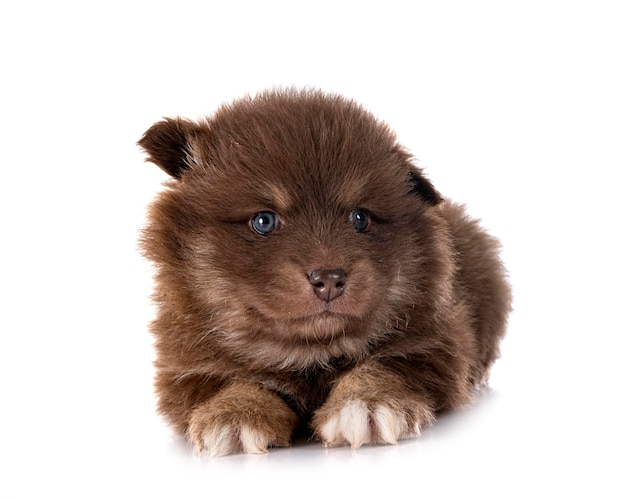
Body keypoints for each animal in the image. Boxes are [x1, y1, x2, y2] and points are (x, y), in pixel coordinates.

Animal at [139, 89, 510, 458]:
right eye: (263, 221)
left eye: (360, 218)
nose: (329, 279)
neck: (310, 353)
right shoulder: (188, 365)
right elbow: (233, 380)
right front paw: (234, 412)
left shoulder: (432, 343)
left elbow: (385, 365)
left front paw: (367, 404)